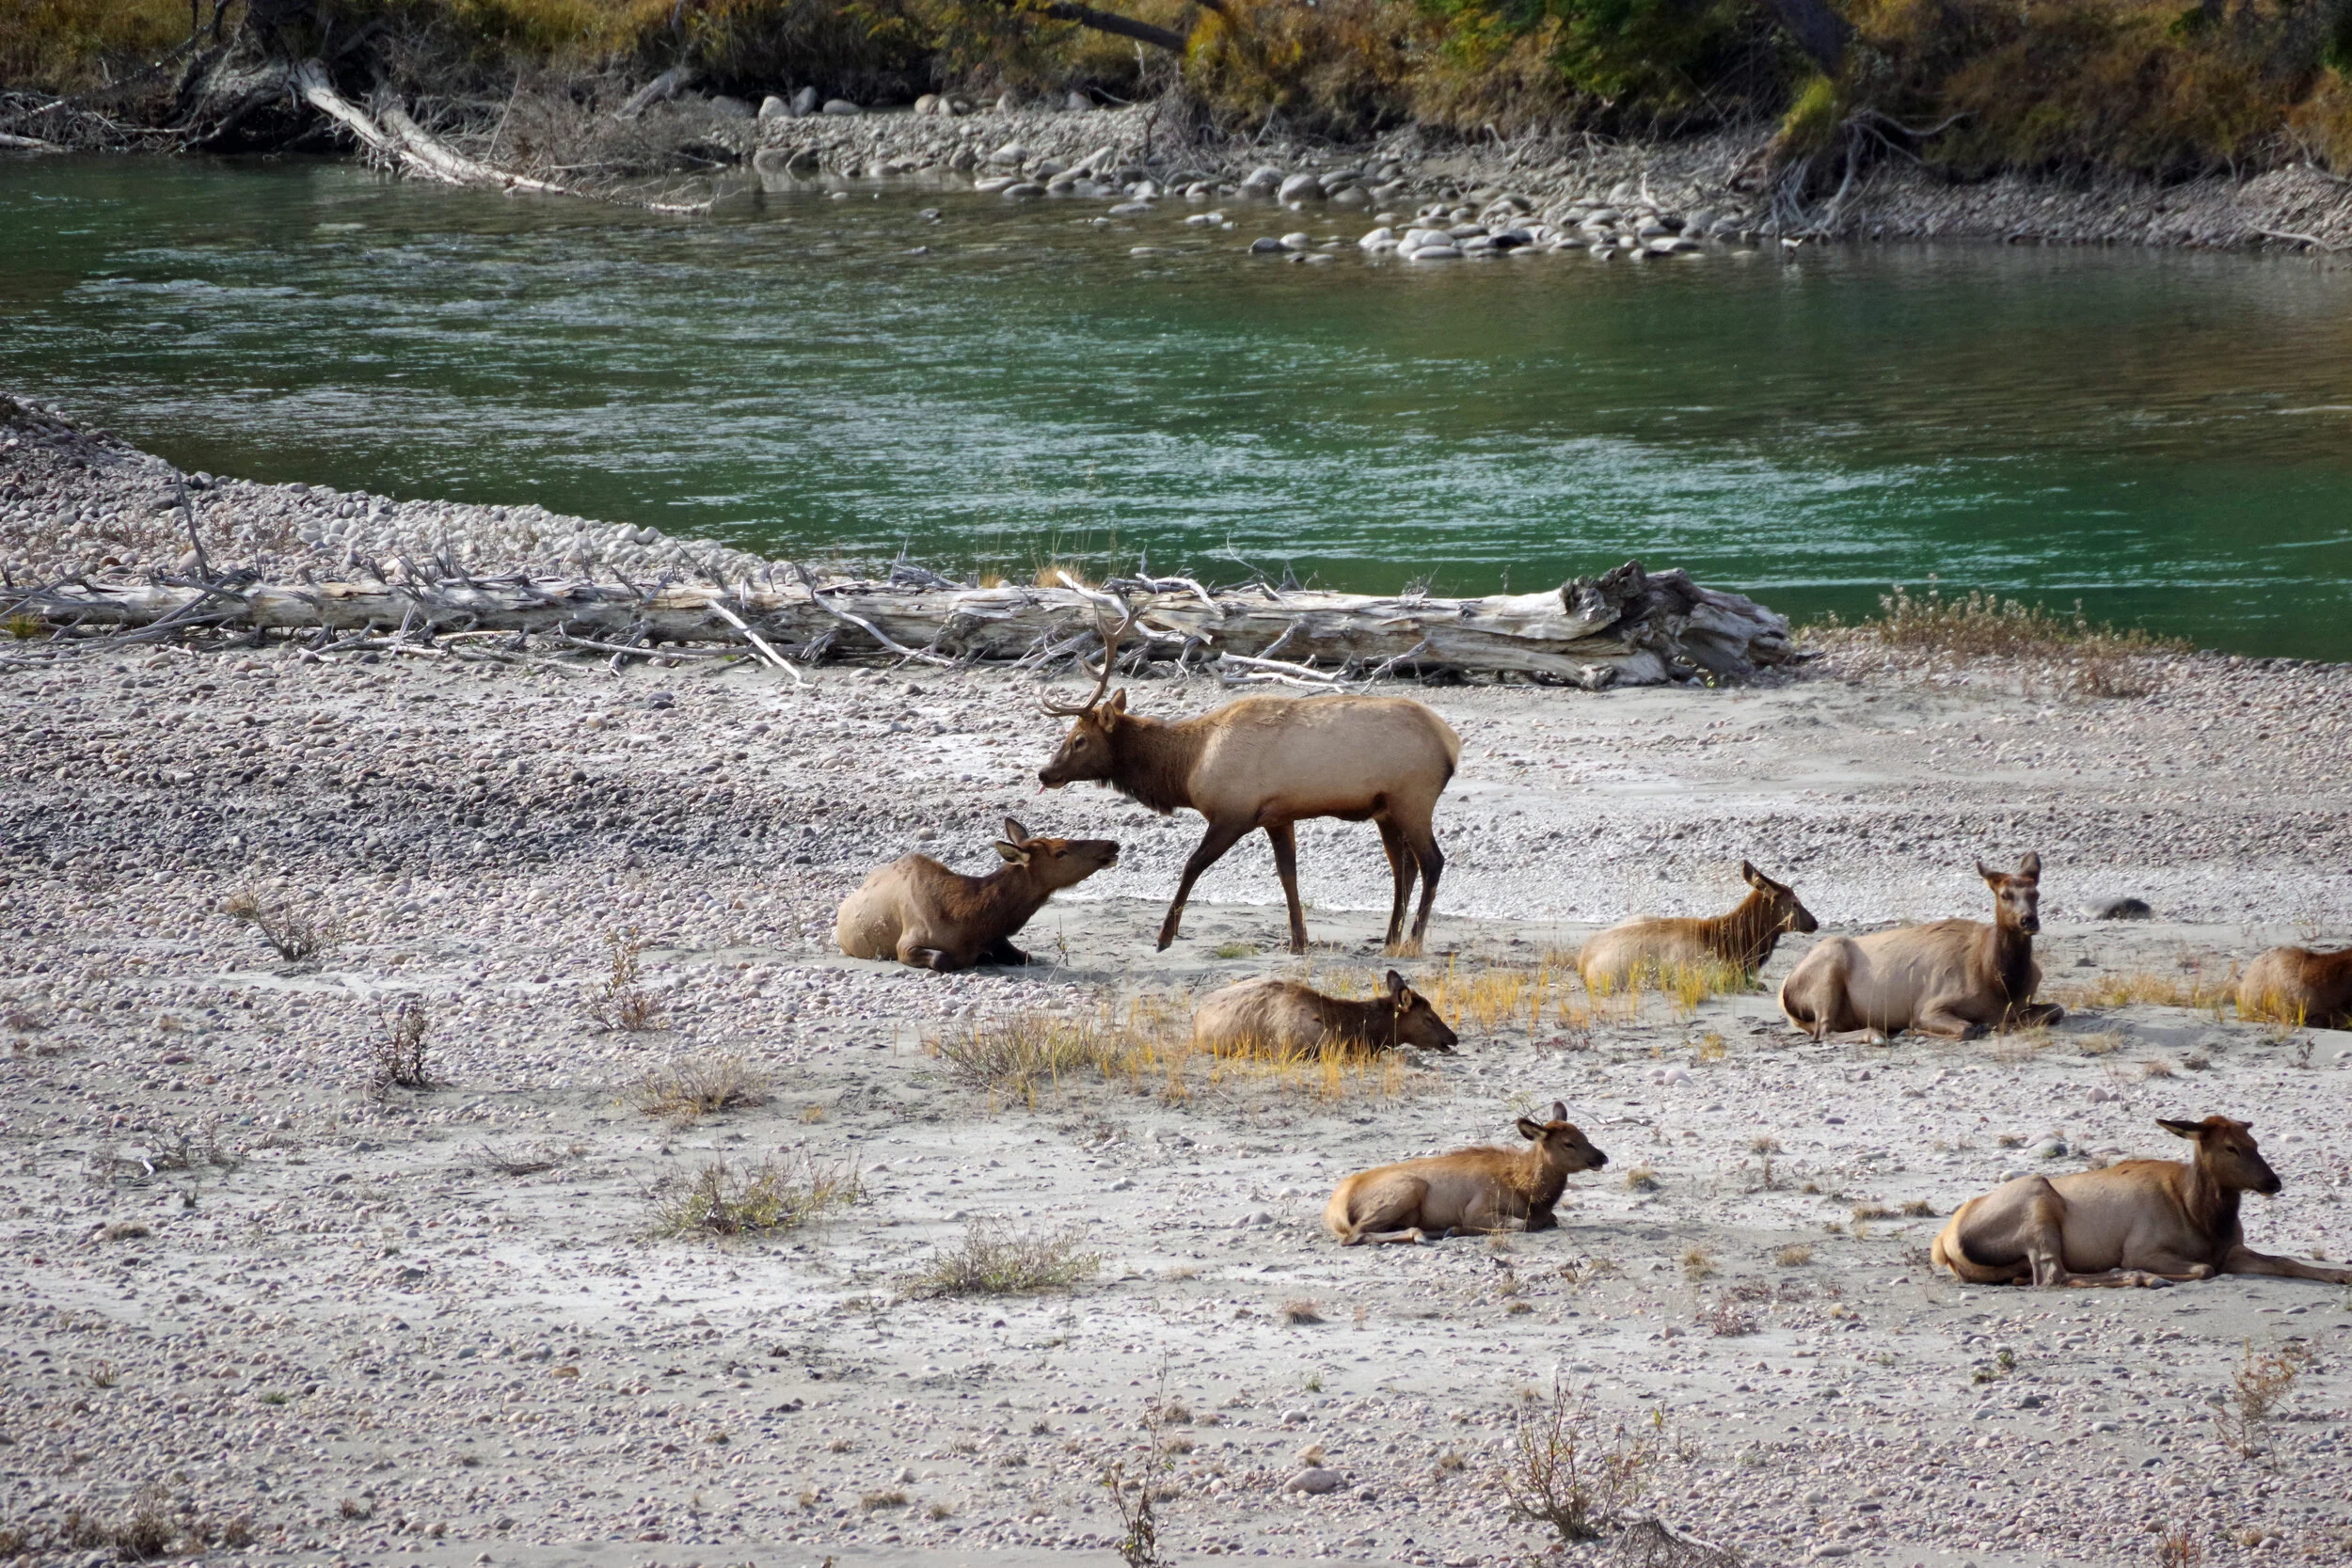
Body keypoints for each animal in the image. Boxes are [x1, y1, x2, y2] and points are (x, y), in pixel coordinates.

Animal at [835, 817, 1118, 972]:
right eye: (1060, 852)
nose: (1112, 843)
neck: (969, 922)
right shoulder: (905, 944)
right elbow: (942, 960)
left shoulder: (997, 939)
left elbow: (1025, 956)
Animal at [1036, 605, 1461, 956]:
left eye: (1079, 739)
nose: (1045, 773)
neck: (1189, 769)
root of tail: (1451, 742)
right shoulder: (1278, 817)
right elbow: (1288, 876)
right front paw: (1298, 942)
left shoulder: (1232, 812)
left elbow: (1191, 866)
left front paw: (1164, 937)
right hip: (1385, 809)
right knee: (1404, 869)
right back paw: (1389, 939)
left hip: (1413, 799)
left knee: (1432, 862)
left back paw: (1413, 941)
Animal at [1323, 1102, 1608, 1244]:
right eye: (1568, 1143)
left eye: (1583, 1135)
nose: (1601, 1157)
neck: (1528, 1191)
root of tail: (1334, 1208)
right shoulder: (1478, 1208)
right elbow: (1525, 1224)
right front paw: (1457, 1229)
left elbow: (1551, 1220)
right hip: (1406, 1189)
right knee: (1353, 1235)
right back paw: (1422, 1234)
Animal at [1778, 853, 2063, 1040]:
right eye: (2004, 895)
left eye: (2036, 893)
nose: (2029, 920)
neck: (2000, 981)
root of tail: (1786, 988)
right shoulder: (1929, 1005)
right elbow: (1968, 1028)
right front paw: (1913, 1029)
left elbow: (2056, 1010)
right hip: (1828, 970)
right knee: (1823, 1031)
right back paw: (1877, 1034)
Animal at [1932, 1116, 2352, 1288]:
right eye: (2230, 1147)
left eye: (2255, 1143)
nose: (2272, 1182)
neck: (2201, 1217)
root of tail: (1944, 1243)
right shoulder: (2143, 1247)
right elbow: (2204, 1269)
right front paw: (2151, 1273)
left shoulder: (2231, 1250)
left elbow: (2283, 1261)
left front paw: (2339, 1275)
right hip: (2038, 1202)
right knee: (2052, 1276)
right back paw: (2143, 1278)